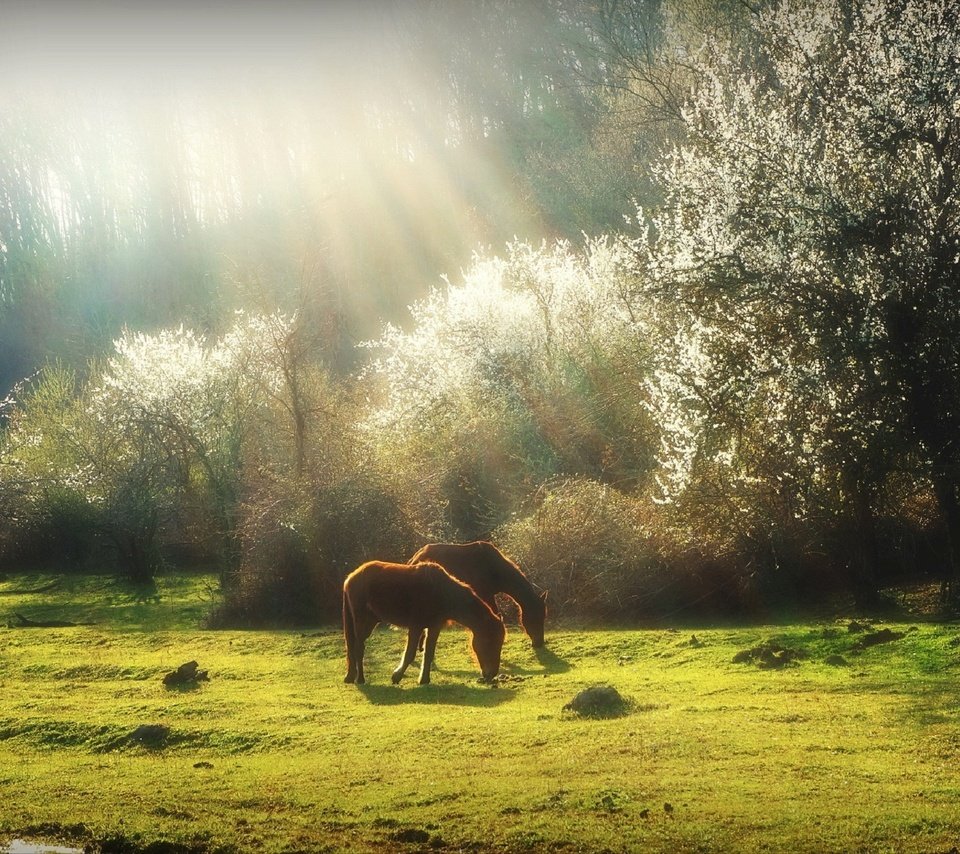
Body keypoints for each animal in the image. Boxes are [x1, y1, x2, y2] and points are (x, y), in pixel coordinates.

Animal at [342, 560, 506, 688]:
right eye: (490, 641)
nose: (492, 674)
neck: (441, 592)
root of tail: (351, 578)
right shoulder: (416, 627)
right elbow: (410, 654)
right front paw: (397, 676)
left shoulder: (434, 627)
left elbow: (429, 653)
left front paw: (424, 679)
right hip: (363, 623)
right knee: (358, 648)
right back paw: (360, 679)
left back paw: (351, 676)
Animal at [408, 540, 552, 648]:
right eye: (535, 617)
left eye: (544, 617)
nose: (539, 643)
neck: (493, 569)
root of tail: (414, 558)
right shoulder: (485, 595)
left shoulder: (489, 595)